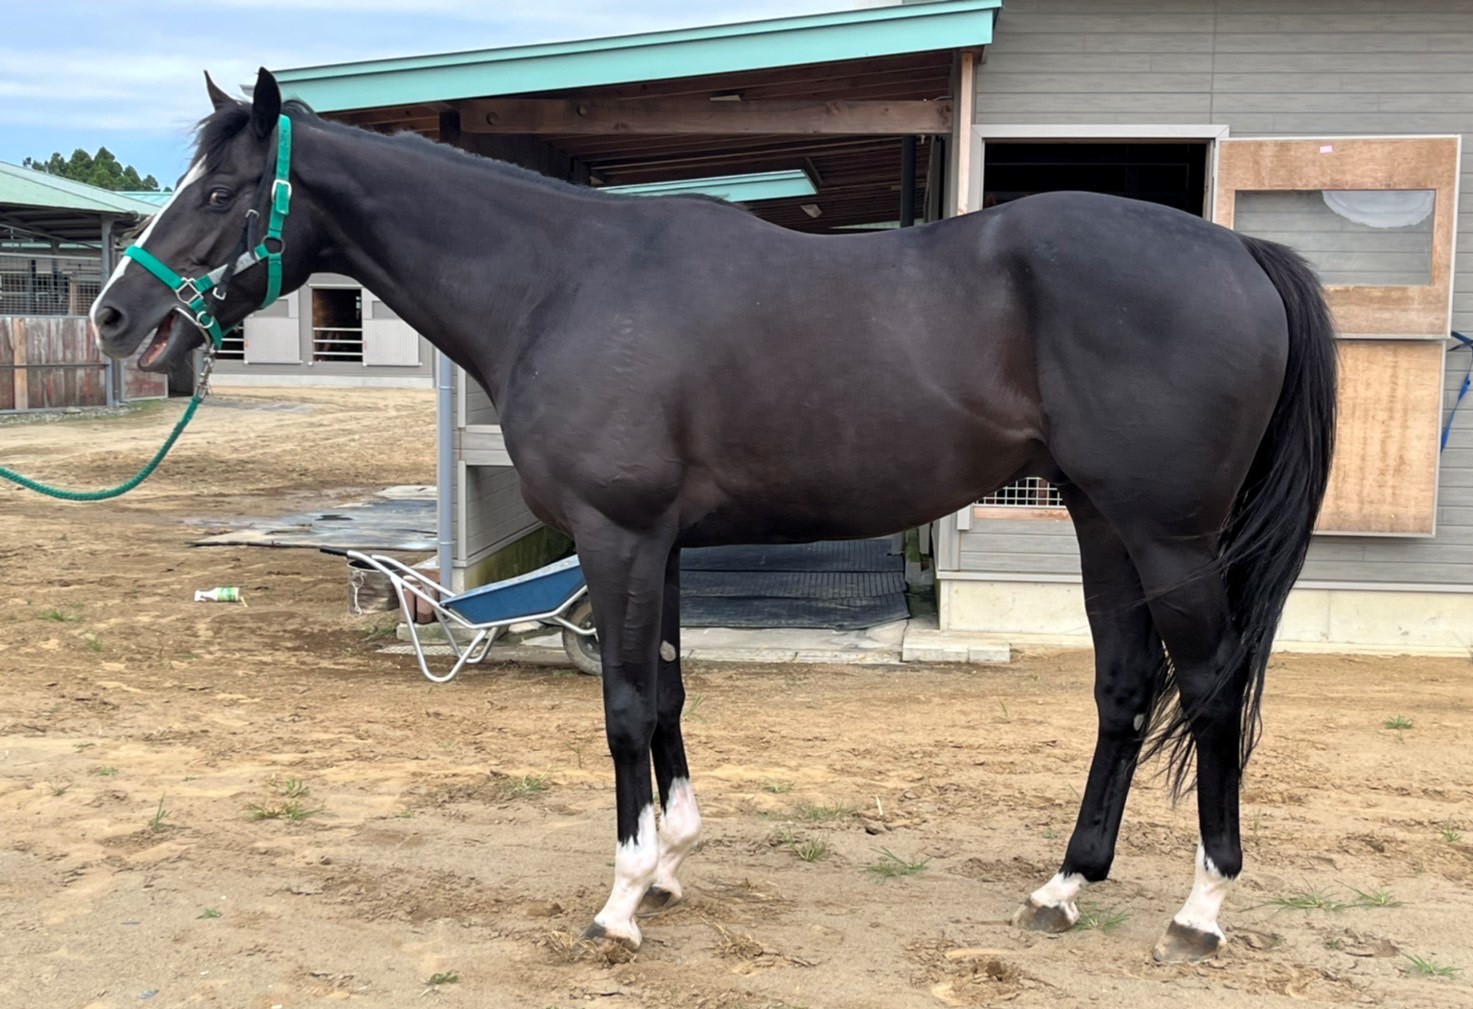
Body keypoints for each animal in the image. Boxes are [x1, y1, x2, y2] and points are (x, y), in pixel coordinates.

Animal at [92, 69, 1336, 963]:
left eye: (219, 195)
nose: (115, 316)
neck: (564, 282)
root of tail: (1240, 249)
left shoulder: (616, 535)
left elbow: (623, 707)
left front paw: (620, 898)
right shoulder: (662, 543)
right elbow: (671, 689)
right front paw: (675, 862)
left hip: (1169, 535)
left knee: (1209, 688)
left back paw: (1201, 908)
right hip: (1099, 519)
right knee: (1124, 687)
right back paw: (1065, 885)